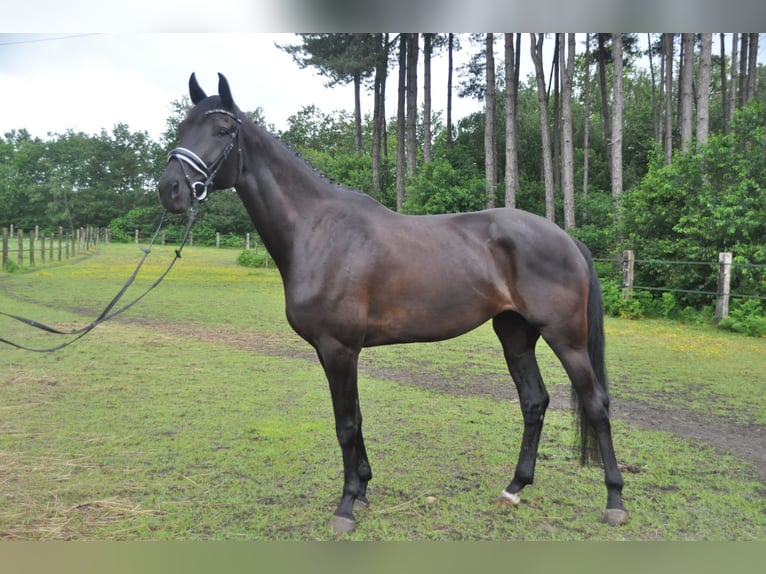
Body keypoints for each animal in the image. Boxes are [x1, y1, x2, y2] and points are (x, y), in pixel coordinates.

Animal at [158, 73, 632, 536]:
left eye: (222, 131)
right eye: (181, 127)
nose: (170, 189)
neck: (318, 230)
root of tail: (566, 238)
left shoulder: (338, 349)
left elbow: (346, 426)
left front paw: (346, 506)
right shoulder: (337, 352)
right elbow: (357, 419)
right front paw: (363, 490)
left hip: (566, 339)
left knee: (596, 405)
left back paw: (614, 501)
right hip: (516, 334)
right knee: (534, 402)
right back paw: (514, 488)